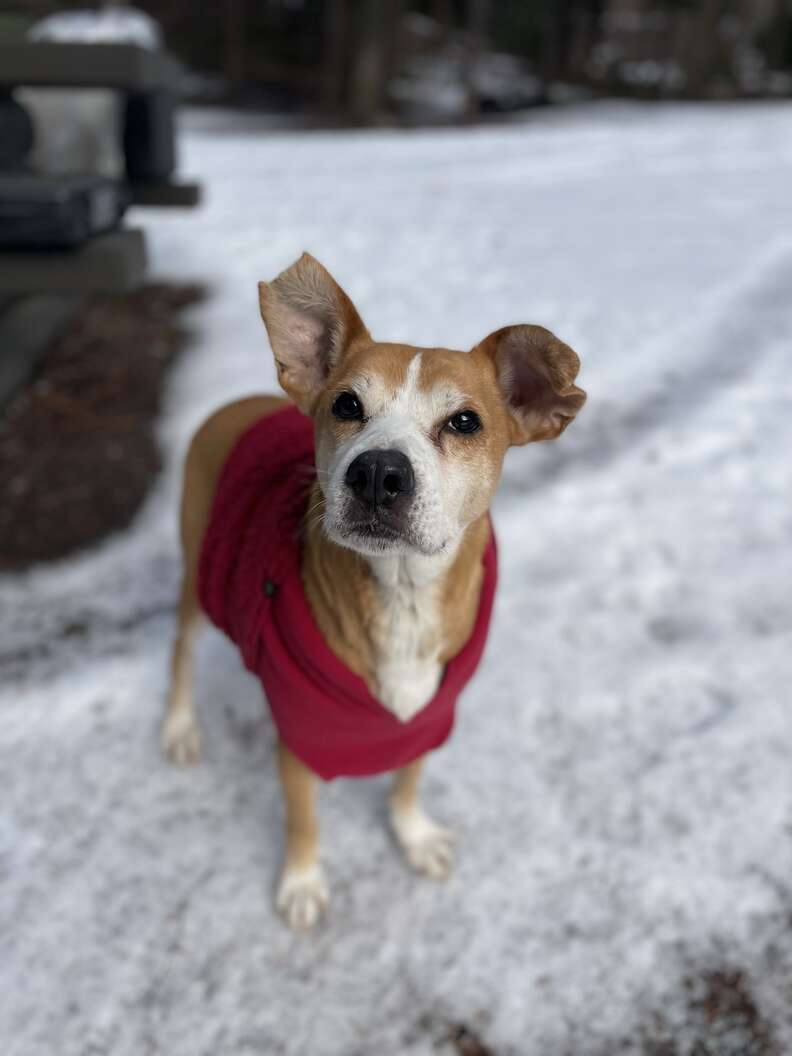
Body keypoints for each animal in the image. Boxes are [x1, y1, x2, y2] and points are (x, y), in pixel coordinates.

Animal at [161, 255, 587, 933]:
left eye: (464, 421)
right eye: (345, 403)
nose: (379, 471)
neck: (403, 594)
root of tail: (233, 405)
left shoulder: (429, 717)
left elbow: (406, 783)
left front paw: (413, 836)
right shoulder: (301, 738)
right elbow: (302, 817)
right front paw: (302, 882)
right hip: (199, 569)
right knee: (180, 650)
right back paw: (179, 727)